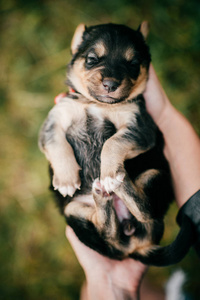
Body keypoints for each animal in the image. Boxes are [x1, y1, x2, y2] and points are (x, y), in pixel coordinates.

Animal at [38, 24, 194, 268]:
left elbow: (113, 142)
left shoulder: (140, 126)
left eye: (133, 63)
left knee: (146, 211)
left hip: (154, 176)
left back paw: (116, 182)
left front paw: (109, 172)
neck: (98, 104)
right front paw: (65, 180)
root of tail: (134, 248)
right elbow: (57, 144)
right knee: (108, 232)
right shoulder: (53, 121)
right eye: (92, 59)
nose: (110, 84)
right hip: (73, 211)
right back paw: (103, 196)